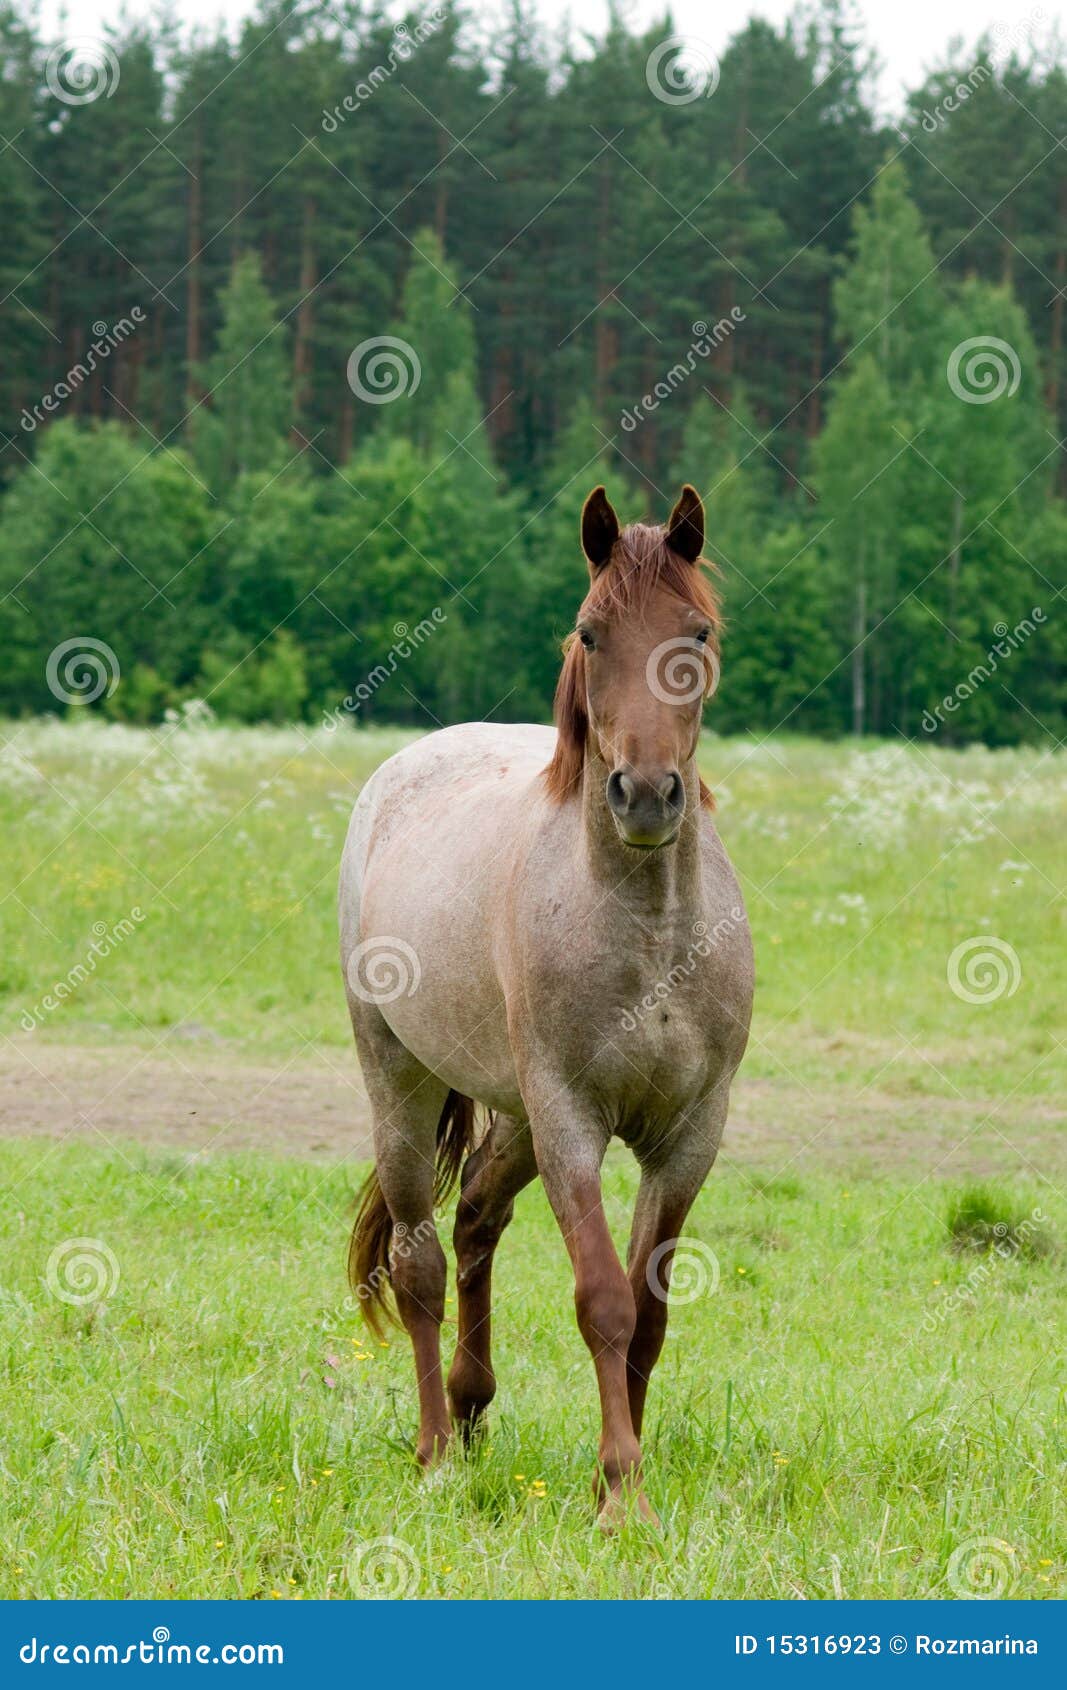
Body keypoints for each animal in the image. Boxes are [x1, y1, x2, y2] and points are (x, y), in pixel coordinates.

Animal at [338, 483, 753, 1526]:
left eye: (695, 632)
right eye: (591, 633)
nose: (645, 795)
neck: (649, 932)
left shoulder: (690, 1133)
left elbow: (649, 1314)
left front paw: (625, 1473)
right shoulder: (571, 1119)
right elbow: (603, 1300)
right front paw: (620, 1494)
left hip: (516, 1111)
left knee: (478, 1218)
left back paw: (470, 1405)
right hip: (400, 1082)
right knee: (419, 1262)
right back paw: (435, 1452)